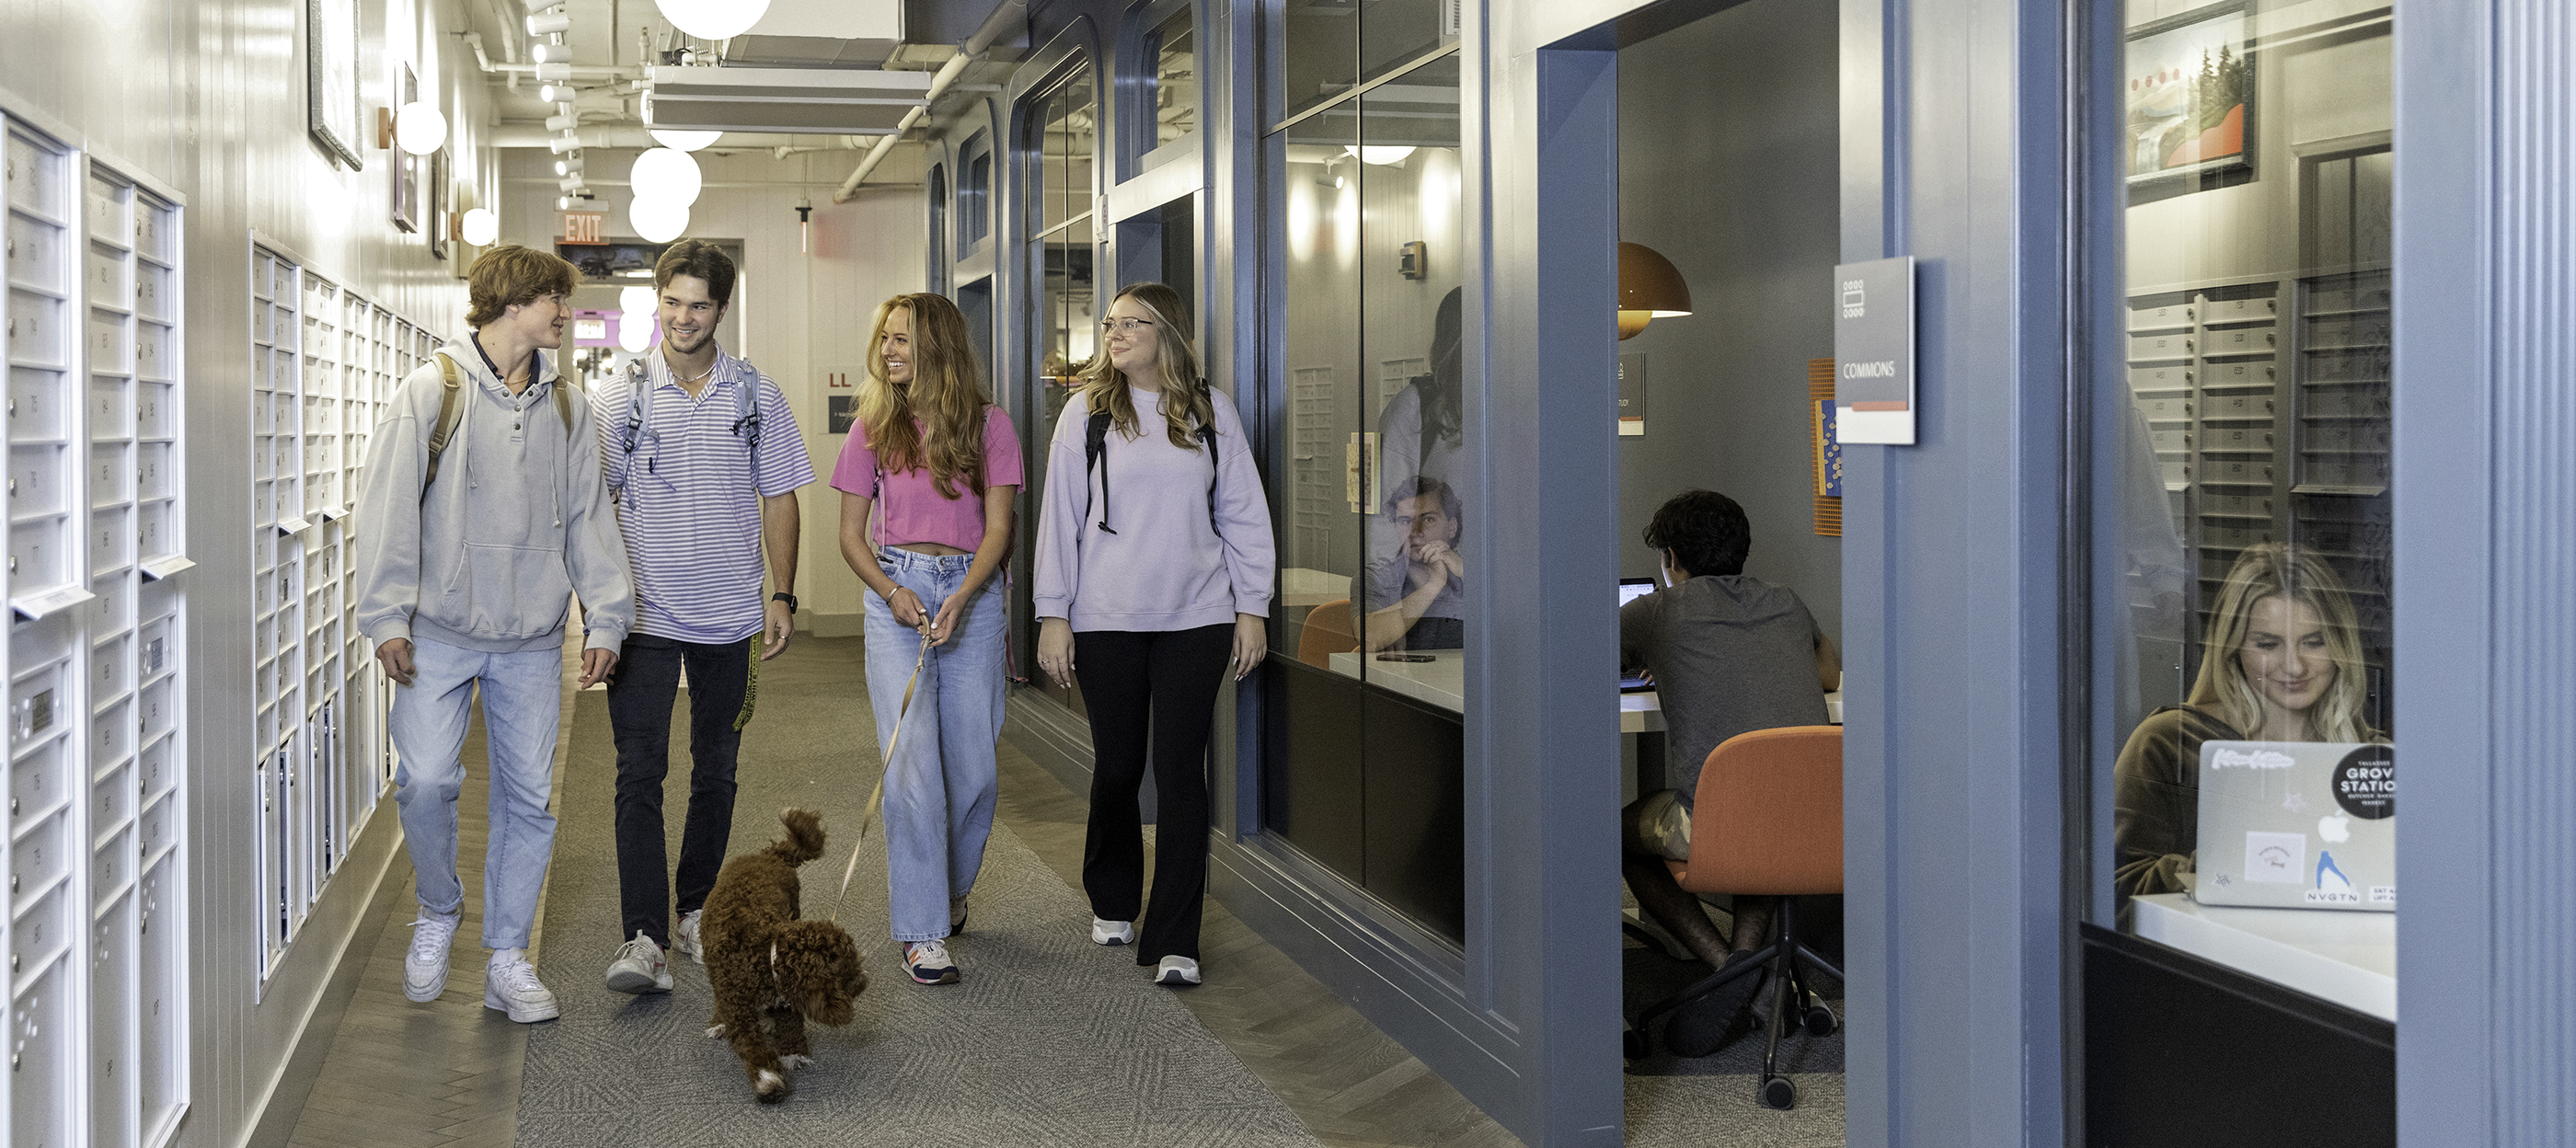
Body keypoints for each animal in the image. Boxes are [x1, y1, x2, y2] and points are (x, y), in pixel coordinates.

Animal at [700, 808, 870, 1101]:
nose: (864, 981)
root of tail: (772, 854)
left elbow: (790, 1025)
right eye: (846, 972)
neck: (765, 953)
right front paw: (769, 1080)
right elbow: (753, 1047)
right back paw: (719, 1021)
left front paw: (793, 1053)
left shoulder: (788, 997)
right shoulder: (739, 1009)